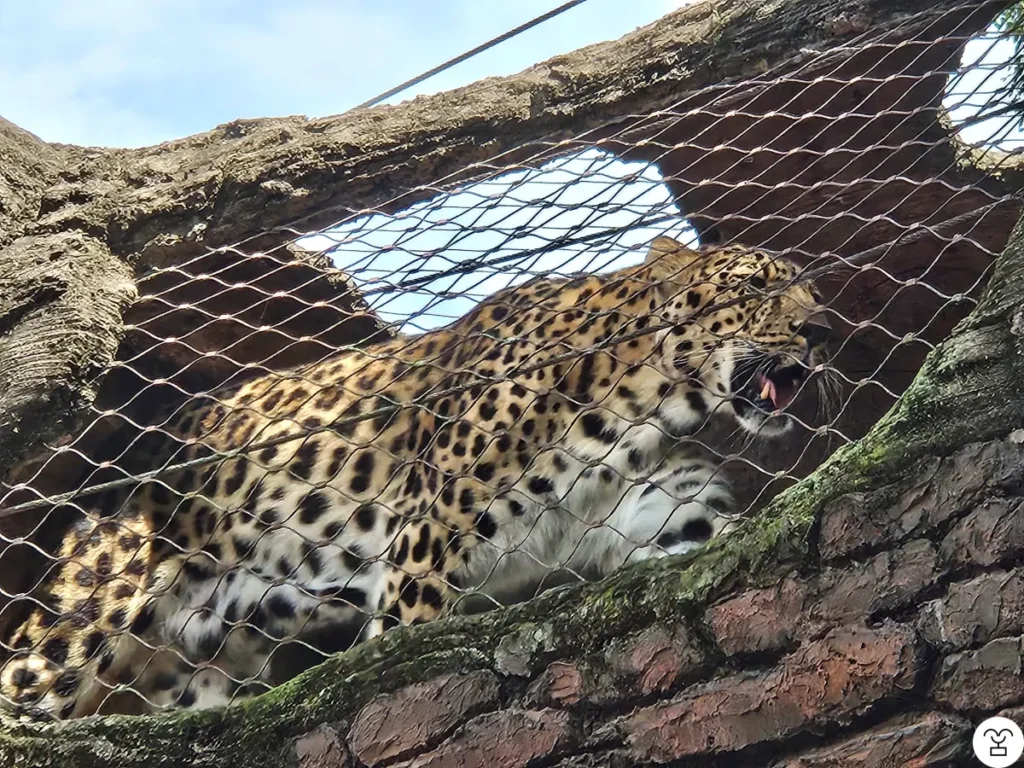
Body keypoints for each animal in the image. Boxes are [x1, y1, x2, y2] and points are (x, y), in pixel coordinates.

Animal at [0, 235, 832, 720]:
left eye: (812, 293)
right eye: (757, 288)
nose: (821, 330)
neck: (643, 406)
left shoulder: (658, 511)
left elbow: (717, 538)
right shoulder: (425, 543)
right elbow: (408, 641)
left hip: (193, 668)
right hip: (80, 631)